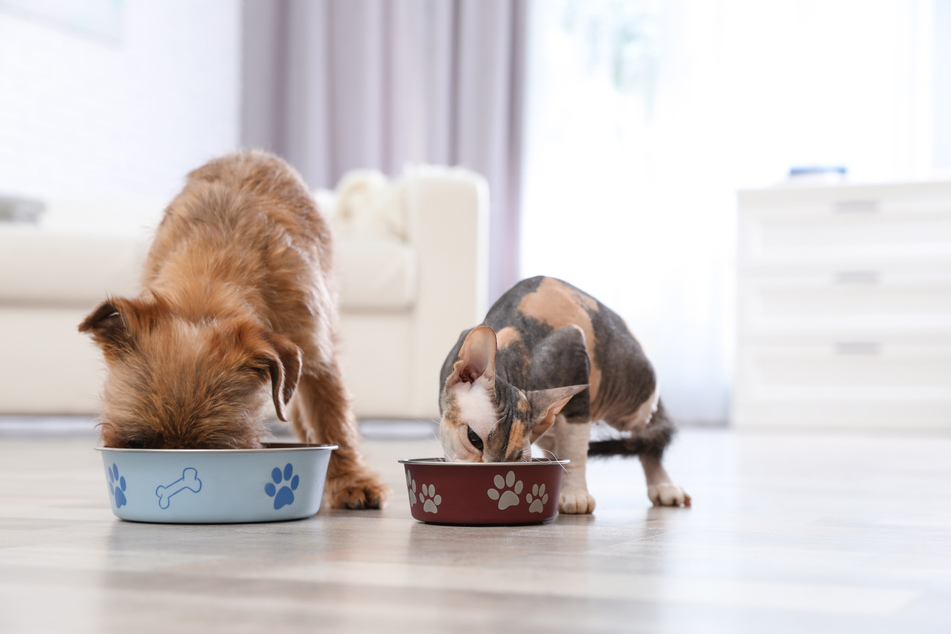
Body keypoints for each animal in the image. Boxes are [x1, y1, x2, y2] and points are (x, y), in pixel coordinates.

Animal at [79, 149, 390, 508]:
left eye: (213, 450)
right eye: (138, 445)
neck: (206, 291)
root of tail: (251, 153)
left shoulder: (317, 356)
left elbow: (333, 421)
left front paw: (352, 481)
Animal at [438, 274, 692, 512]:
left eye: (516, 460)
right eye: (474, 439)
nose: (492, 474)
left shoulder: (574, 356)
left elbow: (575, 449)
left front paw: (575, 494)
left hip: (636, 395)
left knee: (646, 434)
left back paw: (664, 485)